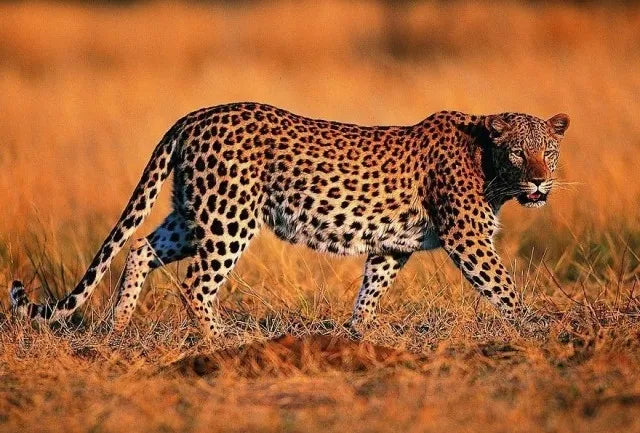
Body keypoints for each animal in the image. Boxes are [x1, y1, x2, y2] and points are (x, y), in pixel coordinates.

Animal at [9, 102, 570, 337]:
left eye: (548, 152)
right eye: (519, 154)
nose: (541, 183)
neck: (490, 168)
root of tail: (193, 116)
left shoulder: (394, 246)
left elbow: (371, 290)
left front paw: (355, 335)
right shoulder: (466, 236)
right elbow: (503, 288)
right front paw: (536, 328)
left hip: (195, 212)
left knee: (141, 247)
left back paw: (116, 327)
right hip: (229, 217)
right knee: (195, 284)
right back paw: (222, 341)